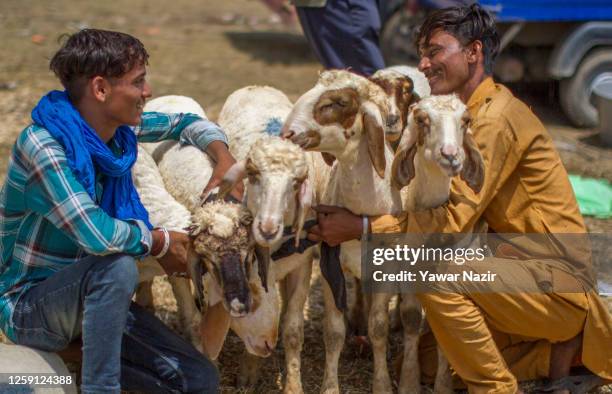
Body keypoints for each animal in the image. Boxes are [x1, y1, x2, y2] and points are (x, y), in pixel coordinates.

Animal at [280, 71, 486, 394]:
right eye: (423, 120)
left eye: (339, 102)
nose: (287, 133)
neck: (364, 206)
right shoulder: (330, 265)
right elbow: (333, 331)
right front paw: (331, 385)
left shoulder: (394, 269)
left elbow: (383, 327)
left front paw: (389, 384)